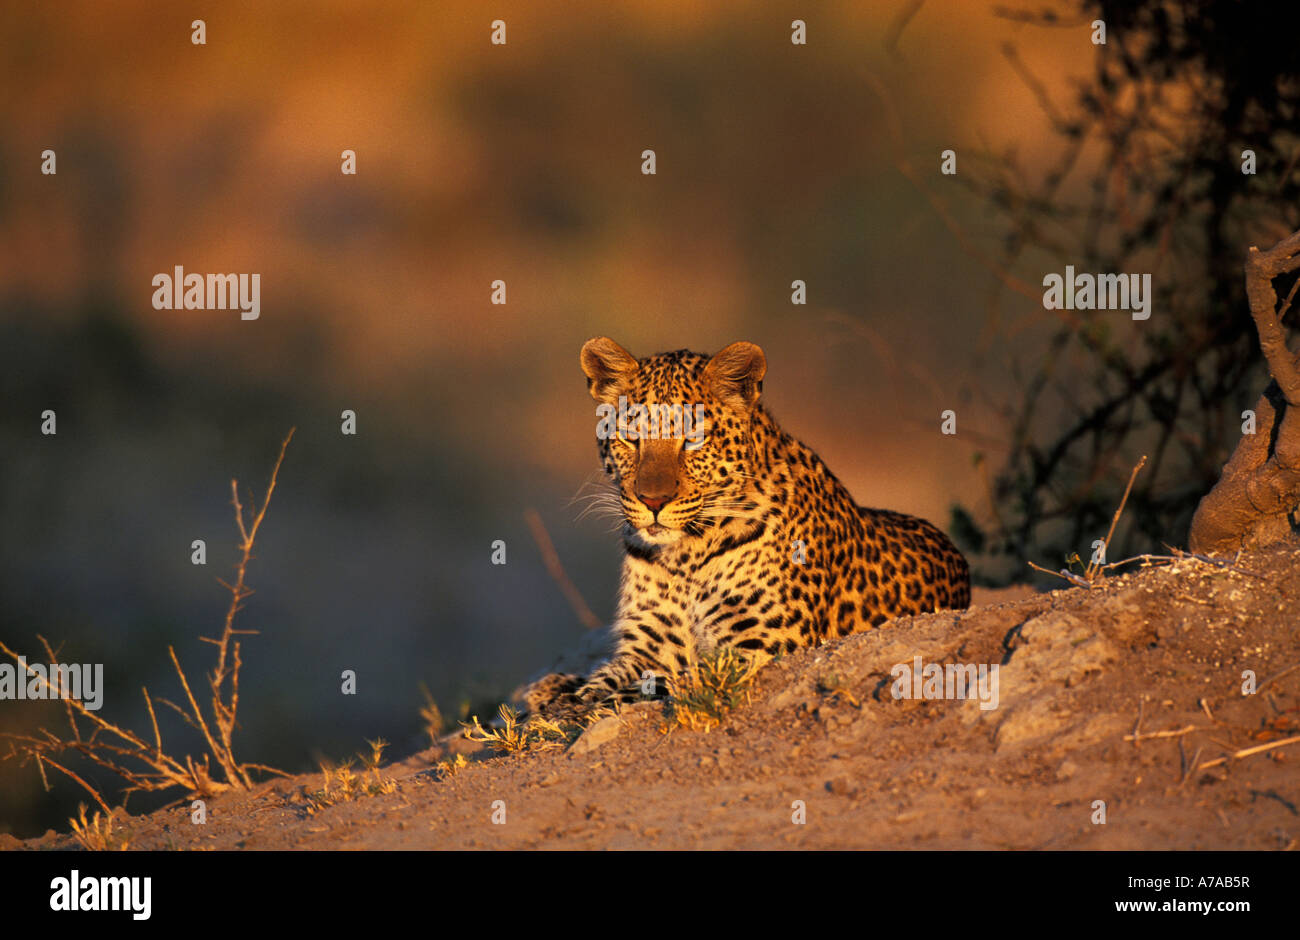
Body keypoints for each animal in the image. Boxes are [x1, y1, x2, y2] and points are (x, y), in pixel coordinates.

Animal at [525, 338, 967, 712]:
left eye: (693, 440)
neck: (686, 554)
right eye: (630, 439)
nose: (653, 501)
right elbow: (609, 678)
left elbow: (672, 681)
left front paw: (575, 704)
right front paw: (569, 694)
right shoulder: (648, 648)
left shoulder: (762, 646)